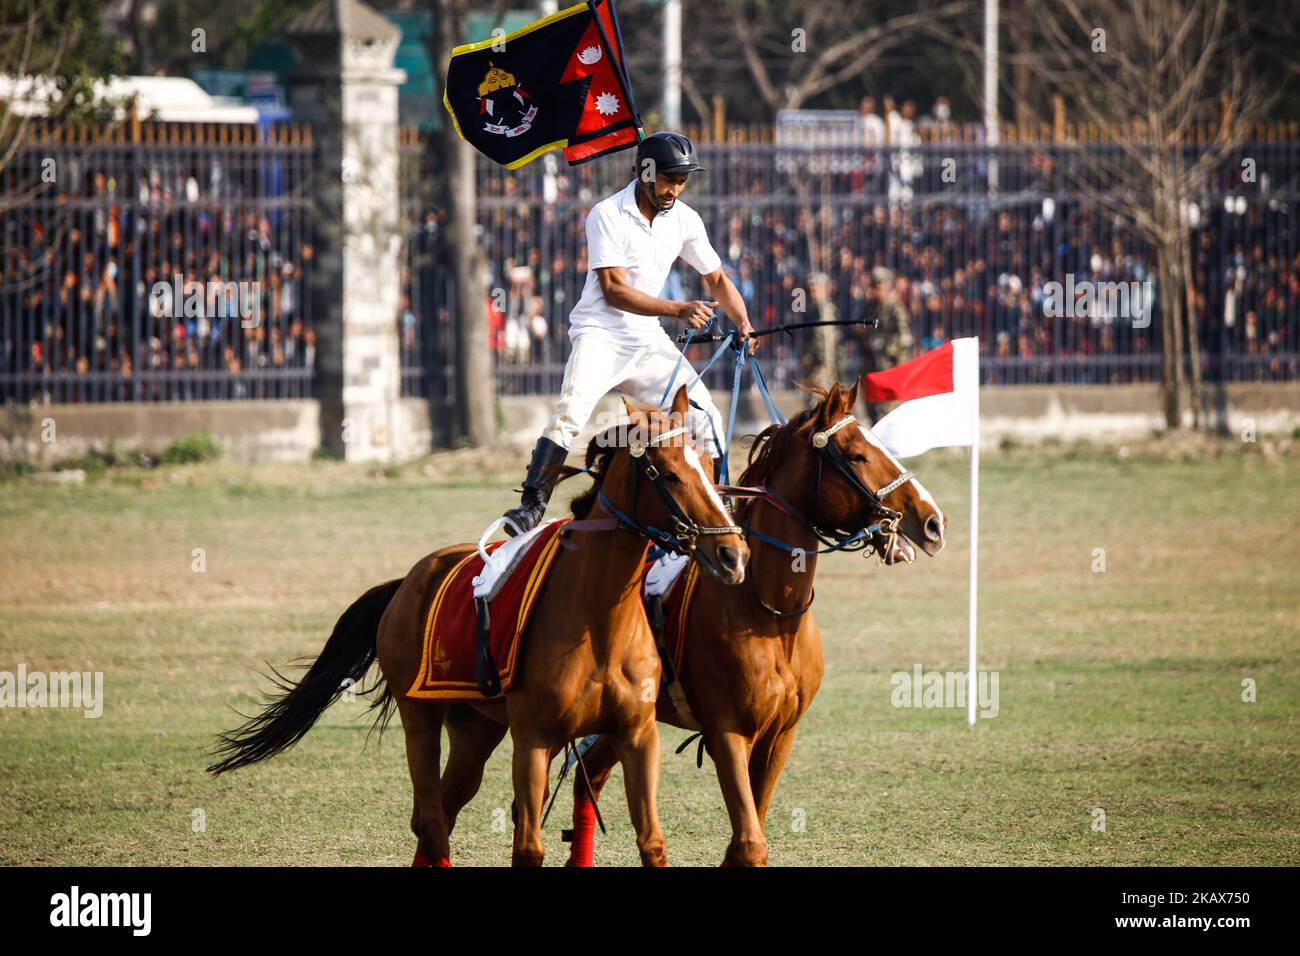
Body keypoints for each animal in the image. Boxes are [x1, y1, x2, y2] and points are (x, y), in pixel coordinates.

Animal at [208, 387, 748, 868]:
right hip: (420, 718)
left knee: (441, 812)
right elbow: (528, 847)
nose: (732, 553)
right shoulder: (533, 739)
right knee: (432, 823)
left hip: (476, 727)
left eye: (708, 467)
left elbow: (651, 843)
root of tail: (406, 581)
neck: (599, 621)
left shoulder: (636, 736)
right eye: (669, 474)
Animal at [559, 382, 946, 868]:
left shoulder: (779, 737)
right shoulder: (728, 734)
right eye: (856, 455)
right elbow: (749, 842)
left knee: (590, 775)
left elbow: (747, 836)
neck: (771, 615)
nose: (932, 521)